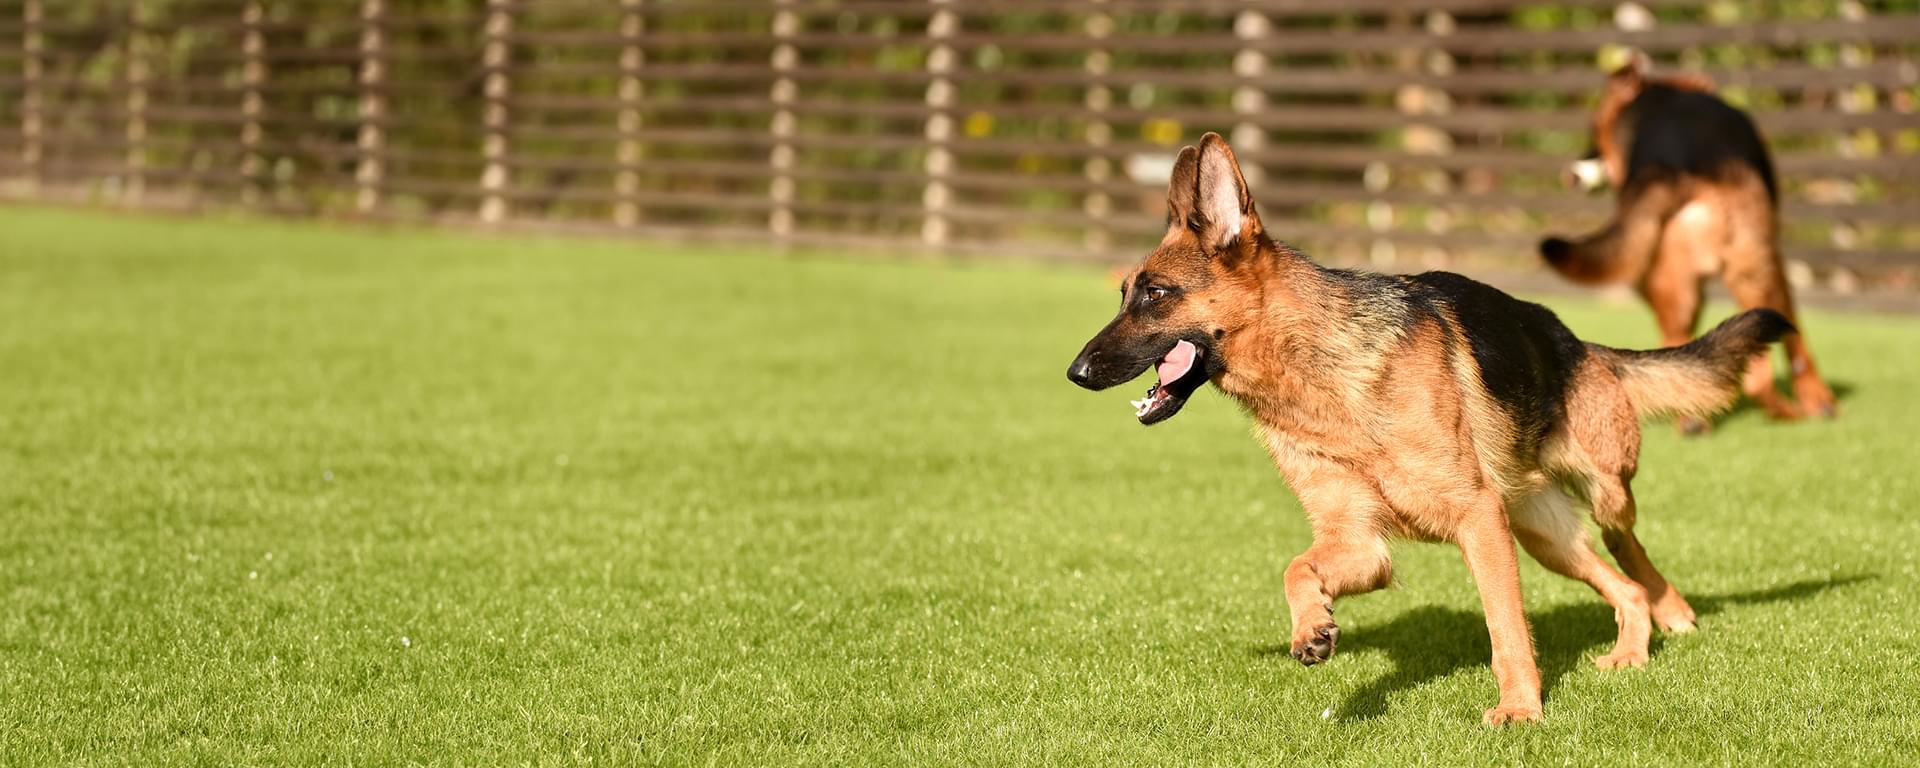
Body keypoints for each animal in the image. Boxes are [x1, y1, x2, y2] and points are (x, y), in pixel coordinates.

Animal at [1067, 133, 1781, 725]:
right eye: (1124, 293)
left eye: (1156, 295)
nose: (1075, 372)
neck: (1320, 379)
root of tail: (1580, 344)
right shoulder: (1361, 544)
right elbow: (1297, 568)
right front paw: (1311, 628)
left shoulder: (1478, 521)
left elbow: (1506, 630)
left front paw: (1520, 711)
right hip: (1545, 537)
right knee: (1623, 587)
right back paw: (1634, 646)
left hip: (1596, 498)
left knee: (1630, 549)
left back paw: (1673, 611)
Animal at [1543, 56, 1827, 422]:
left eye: (1595, 130)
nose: (1572, 173)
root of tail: (1670, 169)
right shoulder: (1774, 261)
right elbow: (1797, 343)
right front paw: (1818, 399)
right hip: (1753, 271)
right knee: (1757, 377)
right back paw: (1788, 413)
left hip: (1661, 277)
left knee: (1678, 342)